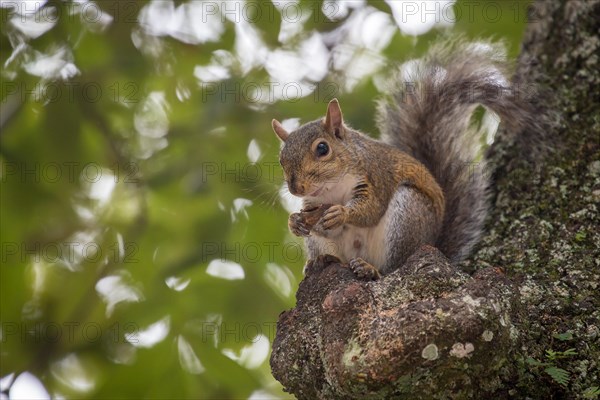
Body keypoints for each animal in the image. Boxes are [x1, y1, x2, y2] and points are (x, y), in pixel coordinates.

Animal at [272, 39, 536, 278]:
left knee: (393, 267)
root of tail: (434, 244)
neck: (332, 188)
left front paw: (342, 213)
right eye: (281, 159)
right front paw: (294, 222)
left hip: (408, 215)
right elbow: (316, 222)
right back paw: (322, 261)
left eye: (322, 148)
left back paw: (371, 269)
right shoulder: (314, 204)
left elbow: (372, 209)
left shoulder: (376, 176)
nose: (296, 188)